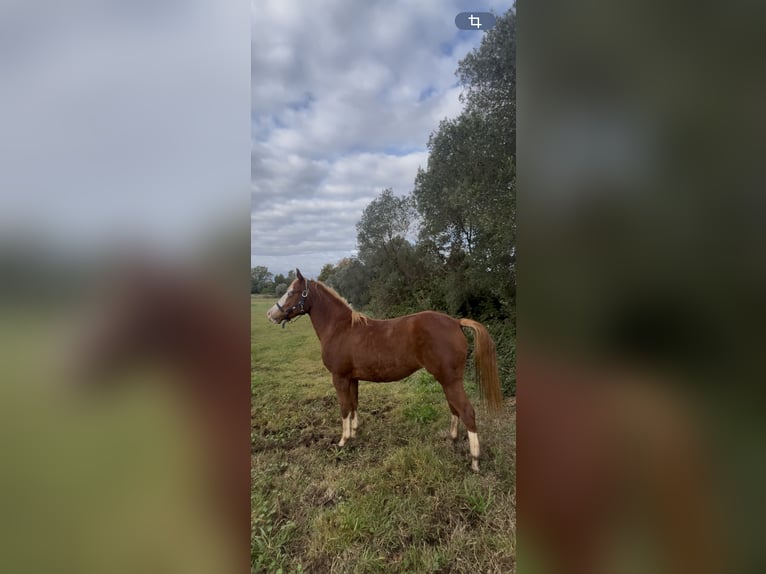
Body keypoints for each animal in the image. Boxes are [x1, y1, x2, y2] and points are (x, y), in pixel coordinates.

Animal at [266, 269, 503, 472]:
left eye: (291, 292)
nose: (270, 314)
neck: (341, 329)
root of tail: (455, 322)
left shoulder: (339, 378)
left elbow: (344, 407)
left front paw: (343, 441)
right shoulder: (352, 379)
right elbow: (354, 404)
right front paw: (355, 432)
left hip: (450, 380)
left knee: (467, 411)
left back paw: (474, 461)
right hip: (447, 380)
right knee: (455, 409)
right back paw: (452, 440)